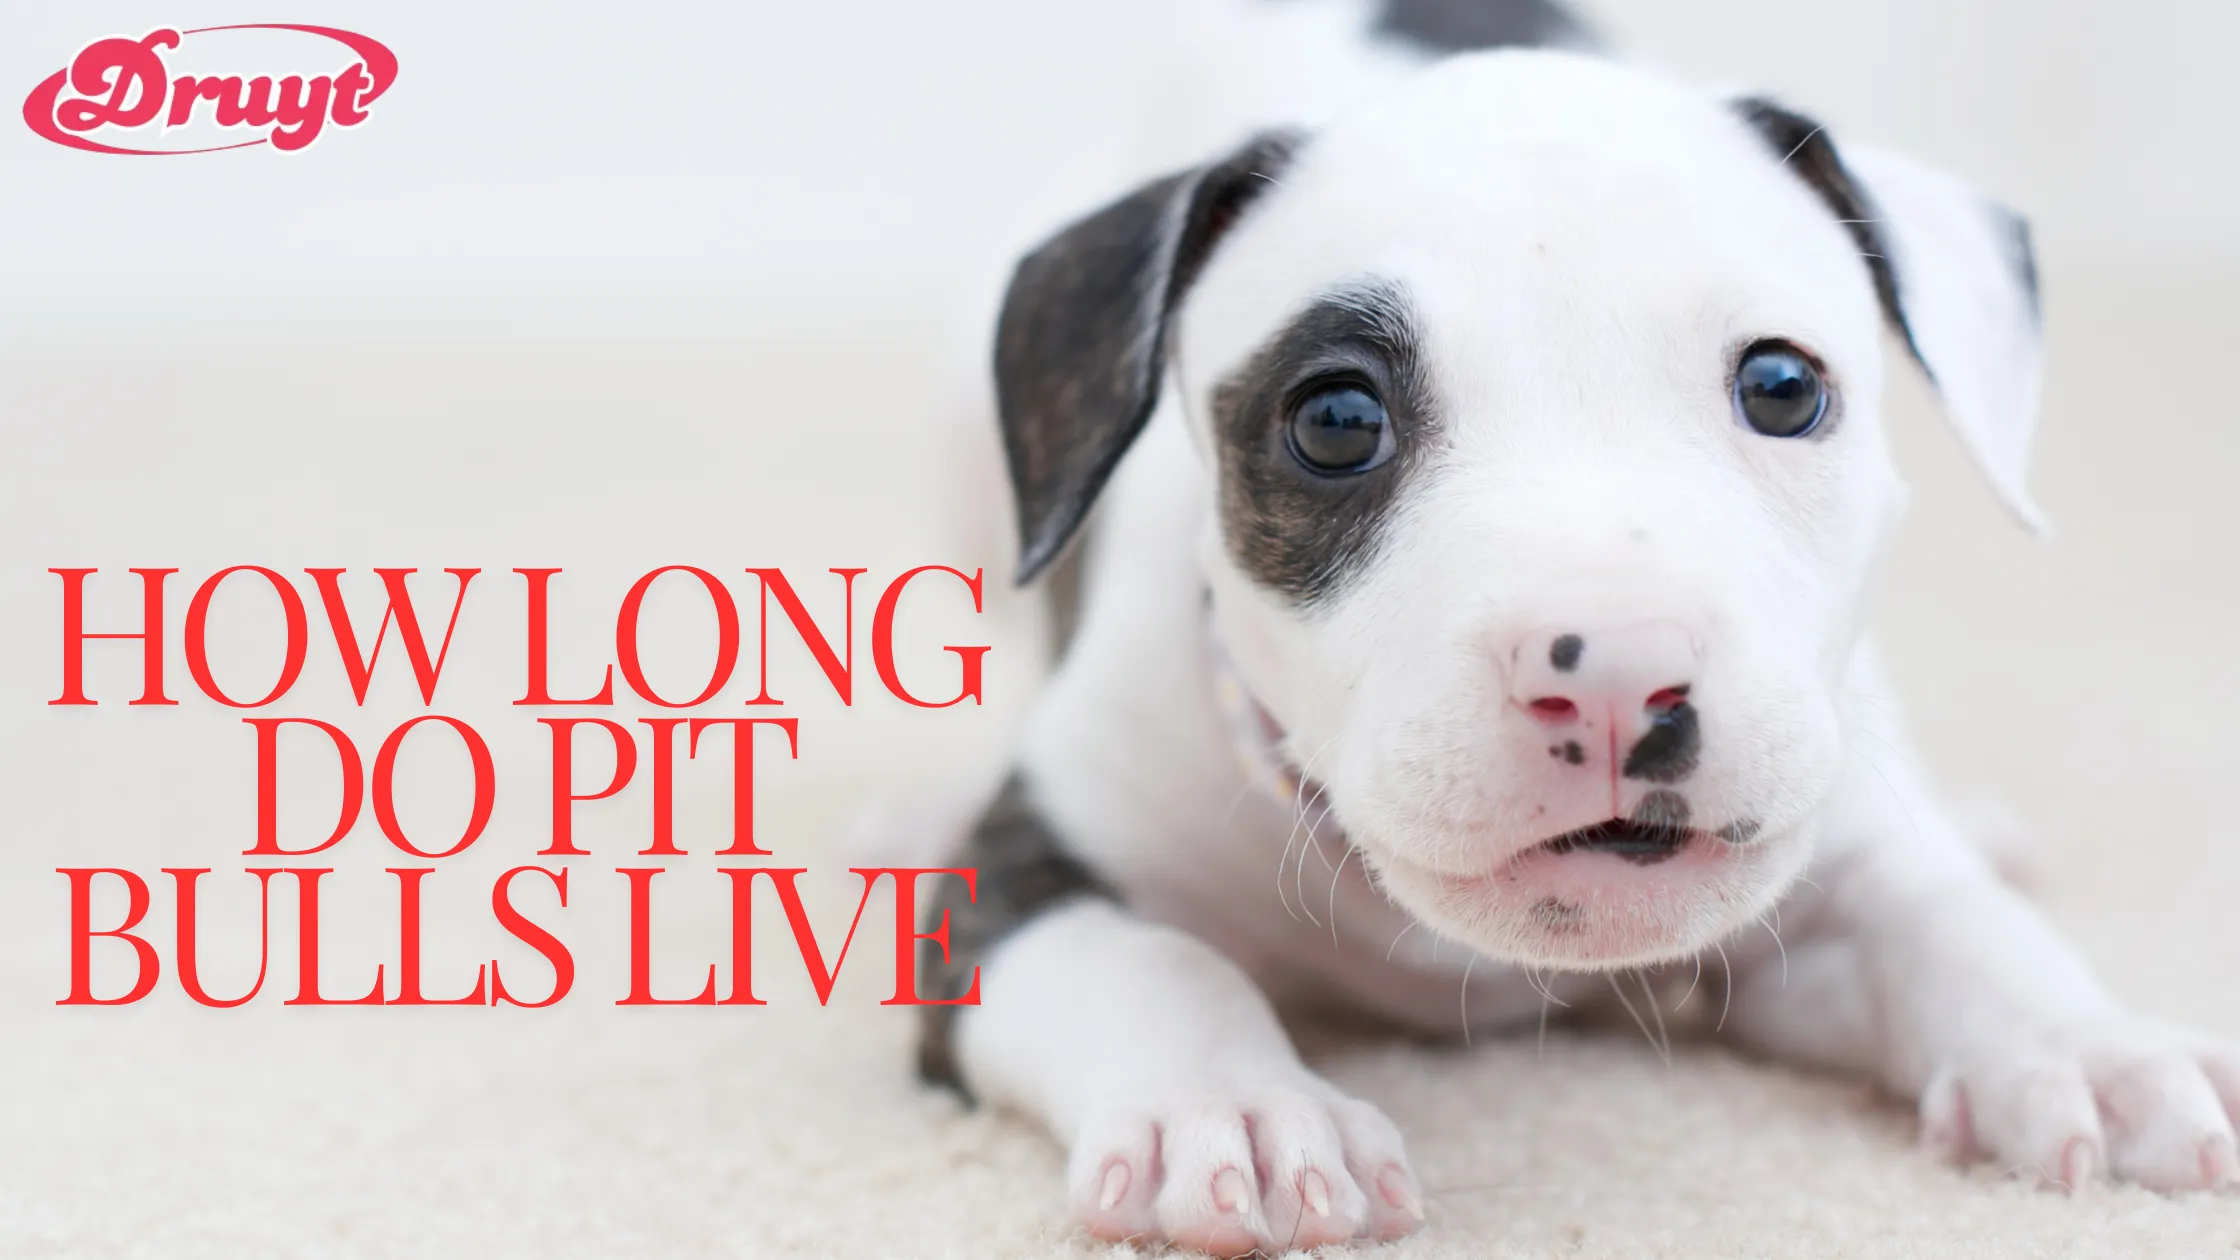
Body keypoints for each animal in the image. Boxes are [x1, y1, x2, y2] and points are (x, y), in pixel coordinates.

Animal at [909, 0, 2240, 1246]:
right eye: (1335, 421)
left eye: (1781, 387)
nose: (1612, 679)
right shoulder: (1022, 876)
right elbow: (1150, 959)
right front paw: (1233, 1107)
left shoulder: (1822, 885)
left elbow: (1951, 923)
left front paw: (2089, 1049)